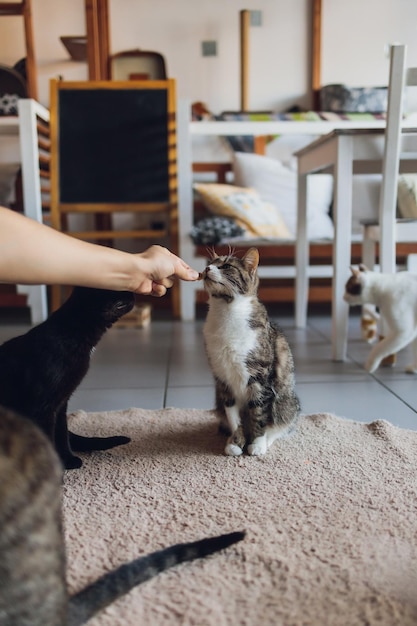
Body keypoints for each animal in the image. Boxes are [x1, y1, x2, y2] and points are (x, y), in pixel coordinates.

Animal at [0, 286, 135, 466]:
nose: (133, 294)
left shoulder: (60, 403)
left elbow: (61, 434)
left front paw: (67, 459)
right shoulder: (43, 408)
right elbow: (49, 439)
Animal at [201, 246, 300, 456]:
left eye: (226, 266)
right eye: (210, 263)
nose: (206, 268)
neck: (226, 312)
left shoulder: (260, 378)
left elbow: (259, 413)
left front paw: (257, 444)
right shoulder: (223, 379)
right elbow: (233, 416)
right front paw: (236, 442)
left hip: (287, 403)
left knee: (281, 424)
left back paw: (267, 440)